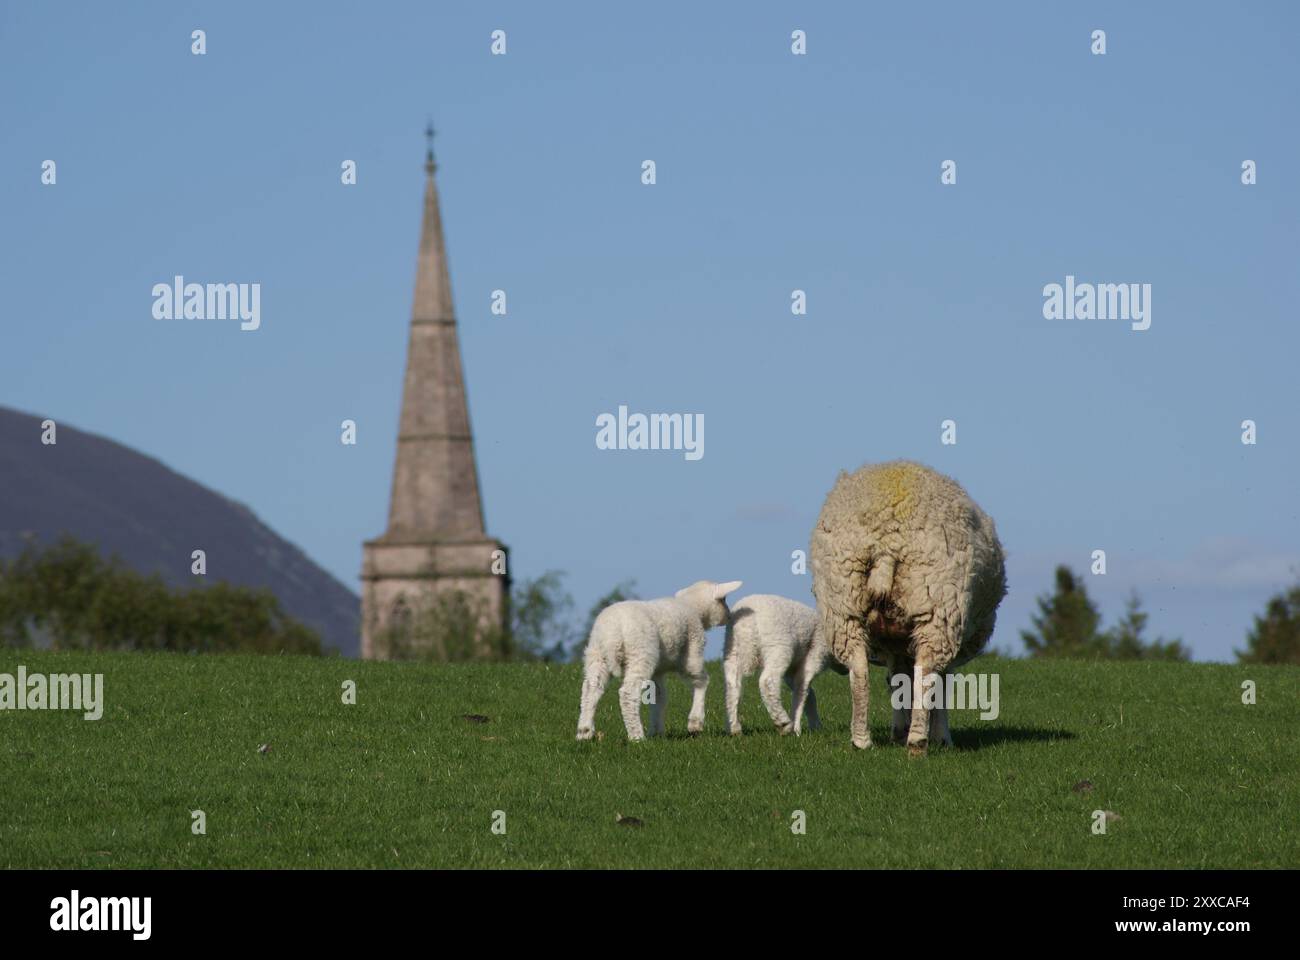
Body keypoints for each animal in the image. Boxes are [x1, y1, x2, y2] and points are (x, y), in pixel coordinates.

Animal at [577, 574, 743, 738]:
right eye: (723, 599)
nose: (729, 616)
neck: (691, 606)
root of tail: (612, 635)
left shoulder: (657, 671)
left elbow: (659, 697)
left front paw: (657, 732)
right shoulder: (692, 651)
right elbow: (701, 681)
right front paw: (695, 723)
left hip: (596, 655)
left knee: (590, 689)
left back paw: (584, 732)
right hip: (640, 653)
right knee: (628, 693)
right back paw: (637, 736)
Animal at [717, 590, 847, 733]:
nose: (846, 671)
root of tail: (746, 624)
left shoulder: (792, 671)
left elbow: (808, 695)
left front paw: (815, 726)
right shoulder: (815, 655)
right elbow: (802, 691)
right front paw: (796, 728)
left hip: (732, 649)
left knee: (732, 685)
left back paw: (734, 727)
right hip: (778, 646)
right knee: (767, 681)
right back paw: (783, 723)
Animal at [811, 460, 1003, 749]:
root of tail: (887, 536)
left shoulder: (893, 646)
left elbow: (897, 682)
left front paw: (899, 728)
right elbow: (939, 686)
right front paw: (940, 737)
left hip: (842, 604)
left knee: (860, 671)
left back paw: (862, 740)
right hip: (938, 608)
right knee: (926, 673)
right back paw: (917, 741)